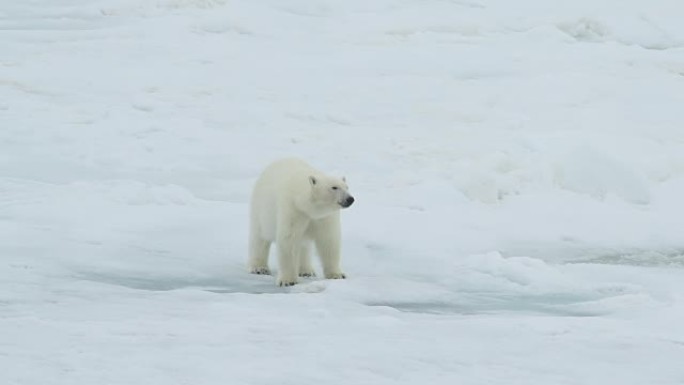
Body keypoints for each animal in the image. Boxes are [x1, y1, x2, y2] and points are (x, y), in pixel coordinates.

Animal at [248, 156, 356, 284]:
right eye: (334, 187)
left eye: (347, 187)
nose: (350, 199)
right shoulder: (293, 210)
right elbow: (289, 240)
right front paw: (288, 281)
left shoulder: (324, 217)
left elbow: (329, 241)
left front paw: (337, 275)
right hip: (260, 210)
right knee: (259, 239)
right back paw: (259, 268)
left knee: (304, 246)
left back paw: (306, 271)